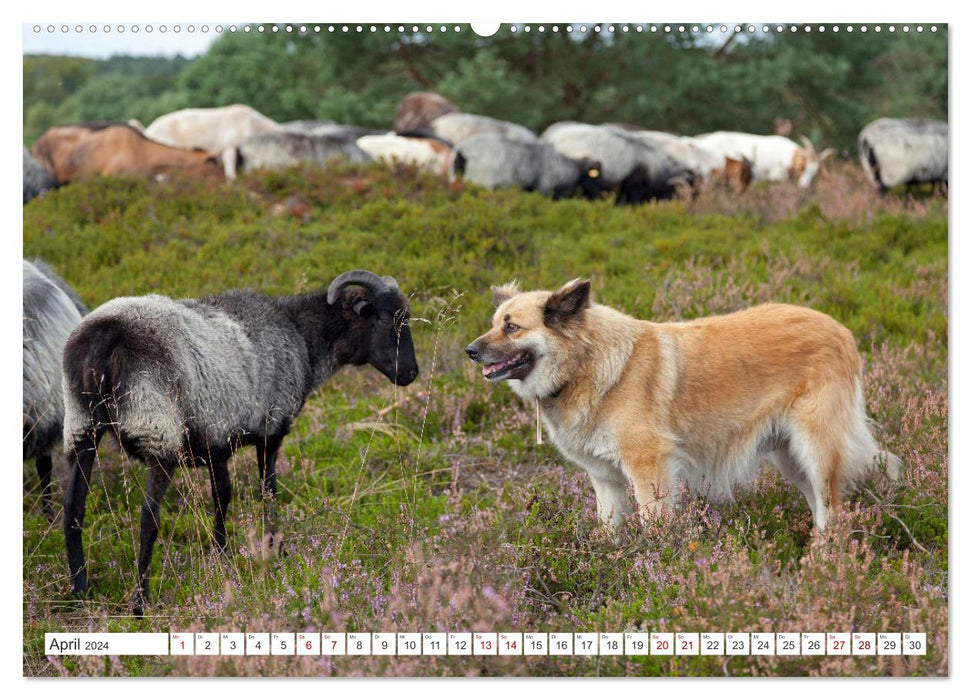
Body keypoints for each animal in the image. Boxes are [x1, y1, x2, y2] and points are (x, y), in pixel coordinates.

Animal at [62, 268, 420, 612]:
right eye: (387, 319)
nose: (411, 373)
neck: (303, 338)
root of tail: (106, 338)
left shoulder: (217, 441)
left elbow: (222, 497)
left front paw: (221, 558)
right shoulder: (270, 430)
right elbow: (267, 492)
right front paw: (274, 553)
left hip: (81, 426)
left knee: (74, 508)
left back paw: (80, 590)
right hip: (156, 428)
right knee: (149, 518)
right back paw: (140, 601)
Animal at [468, 278, 900, 532]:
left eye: (511, 327)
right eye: (494, 323)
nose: (470, 351)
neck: (584, 363)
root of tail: (842, 330)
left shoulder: (649, 469)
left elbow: (654, 528)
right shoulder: (606, 480)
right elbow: (609, 531)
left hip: (815, 451)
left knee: (834, 511)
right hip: (791, 457)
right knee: (822, 512)